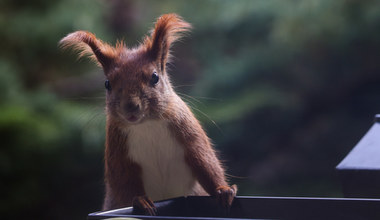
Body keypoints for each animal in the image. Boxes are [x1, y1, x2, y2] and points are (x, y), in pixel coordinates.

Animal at [60, 12, 236, 214]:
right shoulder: (119, 152)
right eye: (107, 84)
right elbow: (122, 181)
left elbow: (206, 163)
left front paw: (223, 190)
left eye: (155, 77)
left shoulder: (189, 135)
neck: (147, 124)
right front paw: (140, 201)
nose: (130, 106)